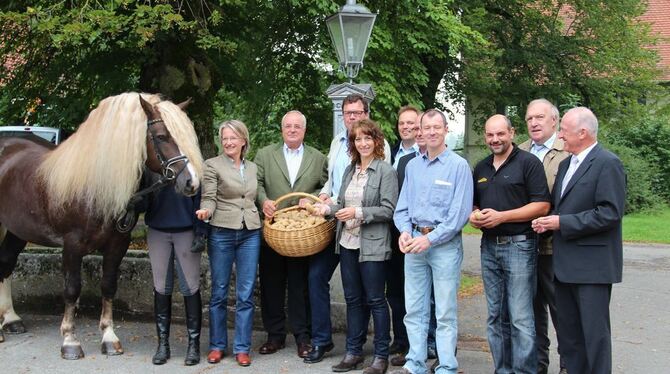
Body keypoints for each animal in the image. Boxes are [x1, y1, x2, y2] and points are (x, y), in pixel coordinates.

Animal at [0, 92, 205, 358]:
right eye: (162, 136)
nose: (192, 182)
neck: (96, 184)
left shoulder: (118, 243)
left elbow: (108, 286)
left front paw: (109, 337)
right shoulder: (72, 245)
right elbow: (72, 288)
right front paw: (70, 341)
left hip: (17, 231)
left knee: (5, 263)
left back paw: (11, 319)